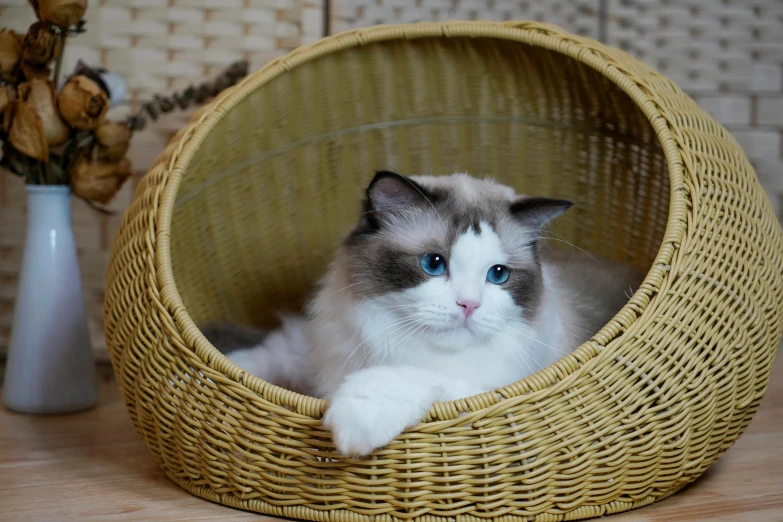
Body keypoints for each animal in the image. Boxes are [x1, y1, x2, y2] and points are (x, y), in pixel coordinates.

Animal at [204, 171, 644, 456]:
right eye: (434, 264)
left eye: (497, 275)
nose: (469, 304)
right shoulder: (322, 345)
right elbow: (267, 357)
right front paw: (205, 374)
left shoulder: (489, 388)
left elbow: (407, 378)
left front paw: (352, 425)